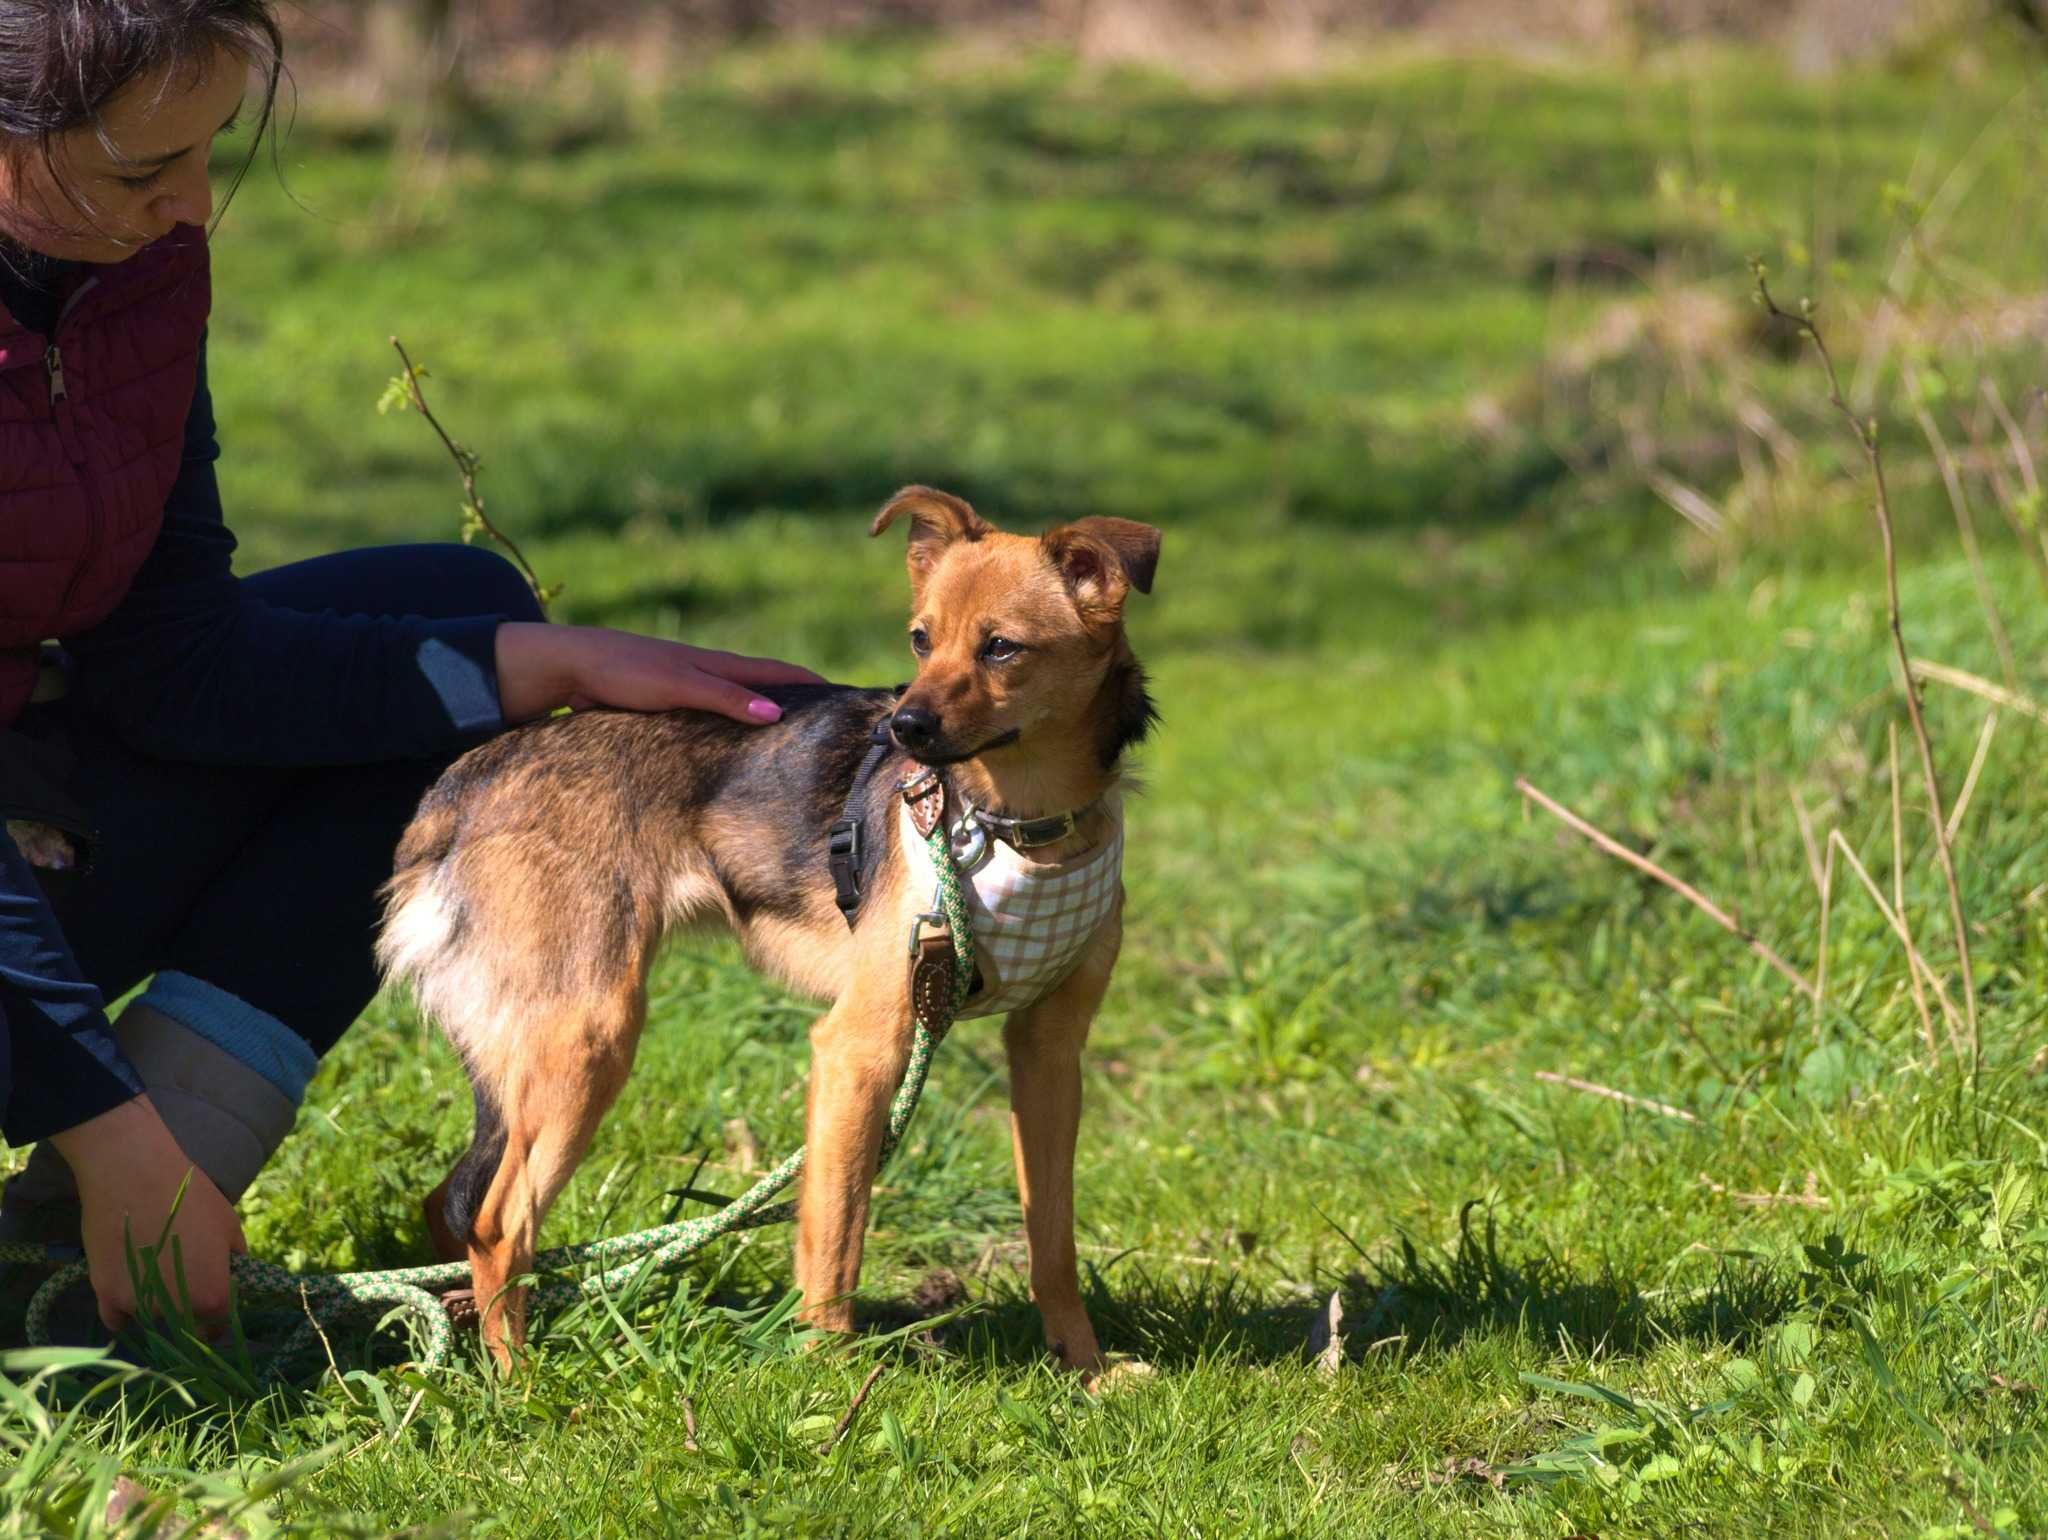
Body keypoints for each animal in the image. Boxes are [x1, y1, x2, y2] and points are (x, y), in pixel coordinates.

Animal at [376, 487, 1163, 1376]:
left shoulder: (1049, 1054)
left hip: (528, 1051)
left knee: (454, 1206)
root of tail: (466, 782)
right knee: (501, 1221)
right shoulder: (860, 1048)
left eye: (1001, 648)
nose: (903, 728)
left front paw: (1087, 1370)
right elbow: (836, 1234)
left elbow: (1052, 1238)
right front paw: (832, 1375)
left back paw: (466, 1343)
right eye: (920, 639)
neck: (1013, 821)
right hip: (586, 1037)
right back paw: (521, 1383)